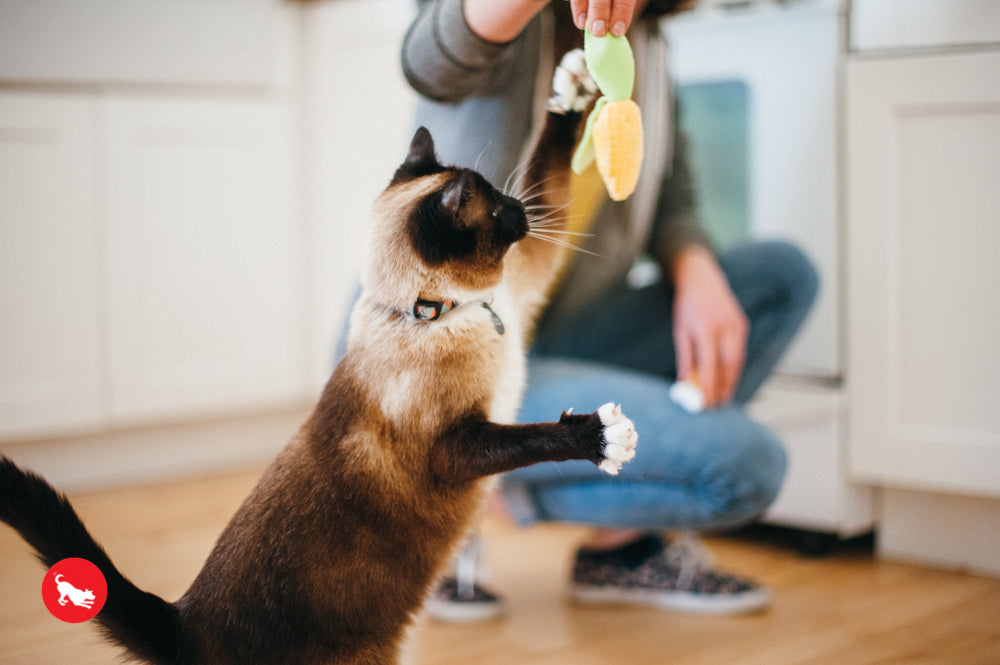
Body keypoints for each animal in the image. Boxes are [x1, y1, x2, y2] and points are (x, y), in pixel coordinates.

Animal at [0, 50, 636, 664]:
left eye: (508, 198)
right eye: (499, 212)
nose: (523, 212)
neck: (443, 311)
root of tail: (182, 625)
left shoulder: (524, 285)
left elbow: (548, 165)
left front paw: (575, 82)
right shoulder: (456, 447)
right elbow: (534, 437)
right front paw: (602, 438)